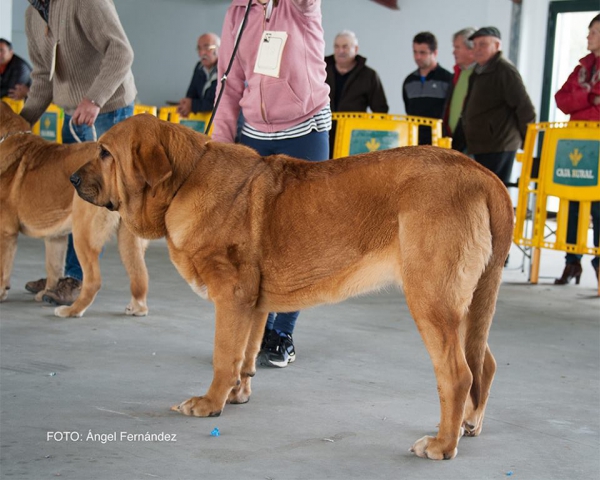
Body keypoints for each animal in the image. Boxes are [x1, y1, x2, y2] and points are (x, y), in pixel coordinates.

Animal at [0, 102, 149, 318]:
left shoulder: (6, 232)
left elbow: (3, 268)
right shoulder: (55, 237)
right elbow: (53, 267)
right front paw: (47, 292)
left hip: (82, 234)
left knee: (94, 281)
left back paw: (71, 310)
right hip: (128, 240)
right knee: (140, 275)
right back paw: (137, 307)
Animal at [69, 114, 510, 460]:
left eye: (105, 152)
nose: (71, 177)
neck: (184, 179)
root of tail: (482, 175)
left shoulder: (231, 295)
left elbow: (223, 356)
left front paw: (209, 403)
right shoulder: (253, 303)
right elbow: (244, 356)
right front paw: (236, 394)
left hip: (431, 301)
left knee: (458, 374)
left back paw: (442, 445)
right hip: (467, 306)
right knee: (484, 364)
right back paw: (470, 425)